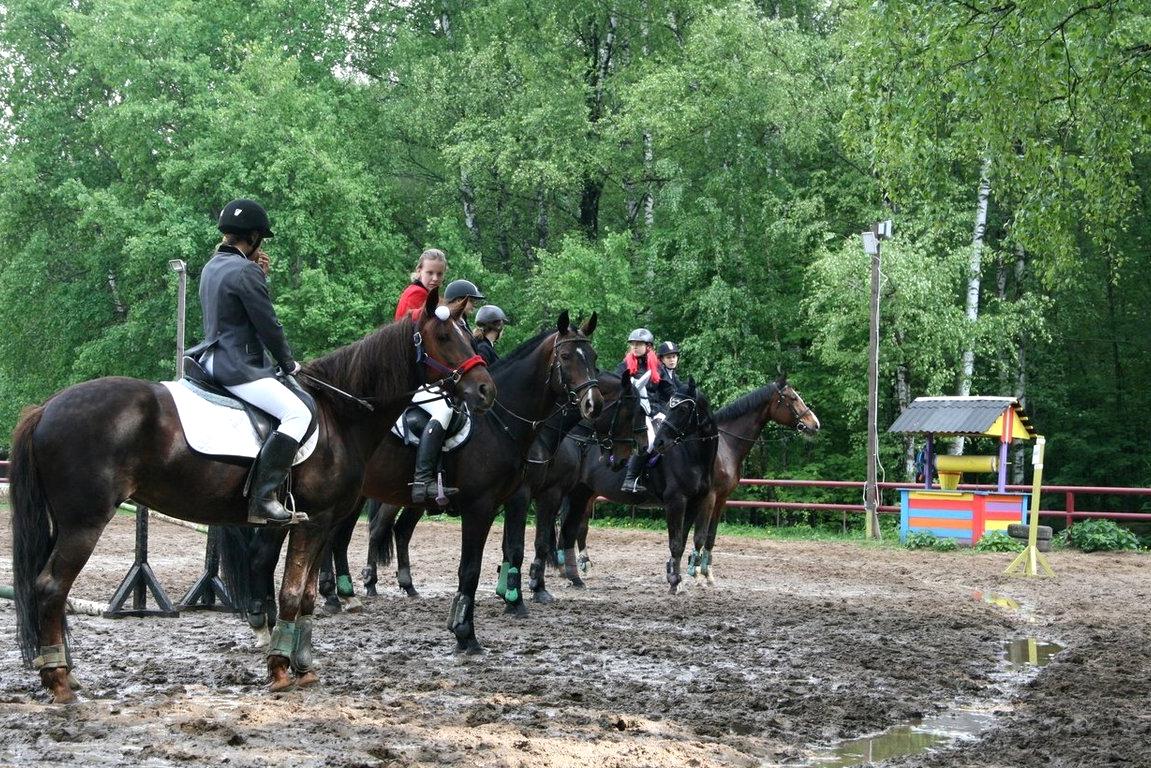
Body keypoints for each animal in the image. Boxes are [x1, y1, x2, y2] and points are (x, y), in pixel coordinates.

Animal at [8, 290, 494, 704]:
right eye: (445, 336)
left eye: (468, 335)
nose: (486, 390)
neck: (339, 413)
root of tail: (46, 408)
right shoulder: (316, 521)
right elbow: (292, 593)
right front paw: (280, 668)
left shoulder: (320, 522)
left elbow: (307, 597)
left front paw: (303, 666)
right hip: (84, 524)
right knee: (50, 587)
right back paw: (59, 681)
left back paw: (63, 672)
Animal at [224, 308, 603, 658]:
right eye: (567, 357)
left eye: (594, 357)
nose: (593, 403)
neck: (500, 421)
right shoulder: (487, 505)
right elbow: (475, 567)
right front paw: (470, 632)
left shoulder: (508, 499)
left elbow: (509, 550)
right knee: (271, 554)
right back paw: (280, 617)